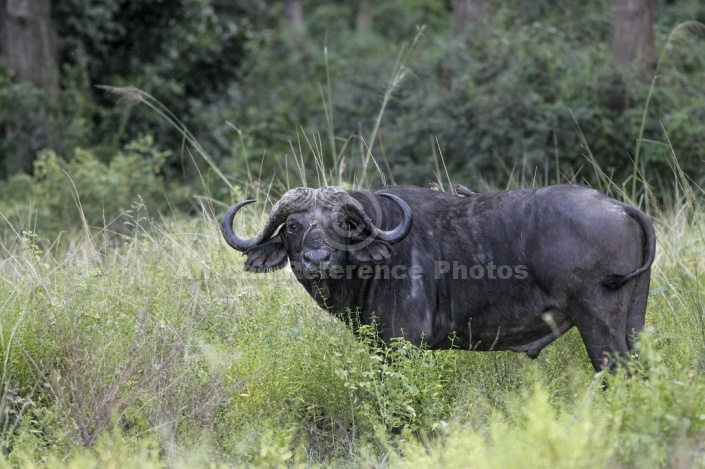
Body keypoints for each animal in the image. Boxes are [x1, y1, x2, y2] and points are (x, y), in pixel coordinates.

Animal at [221, 185, 656, 372]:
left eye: (342, 224)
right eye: (293, 227)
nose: (316, 259)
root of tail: (617, 206)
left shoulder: (404, 344)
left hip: (598, 324)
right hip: (633, 320)